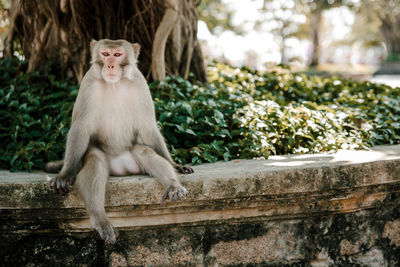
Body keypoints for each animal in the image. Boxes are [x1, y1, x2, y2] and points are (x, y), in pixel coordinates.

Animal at [47, 39, 194, 245]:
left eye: (117, 55)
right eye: (105, 53)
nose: (110, 65)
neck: (114, 84)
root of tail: (121, 167)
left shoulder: (140, 82)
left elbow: (147, 127)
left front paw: (175, 164)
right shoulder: (88, 83)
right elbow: (80, 128)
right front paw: (65, 173)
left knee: (144, 151)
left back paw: (173, 186)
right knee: (95, 158)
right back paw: (100, 218)